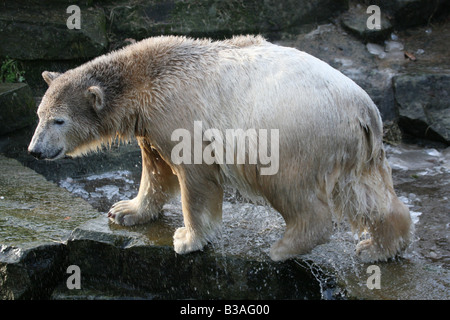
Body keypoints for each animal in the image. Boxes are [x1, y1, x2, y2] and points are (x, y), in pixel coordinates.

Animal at [27, 35, 412, 262]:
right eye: (39, 114)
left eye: (59, 121)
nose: (34, 150)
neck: (145, 76)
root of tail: (364, 109)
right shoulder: (150, 121)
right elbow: (154, 169)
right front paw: (124, 210)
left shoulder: (179, 112)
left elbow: (192, 176)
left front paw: (187, 238)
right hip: (354, 147)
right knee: (365, 193)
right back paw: (377, 247)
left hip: (295, 135)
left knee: (293, 190)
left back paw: (283, 247)